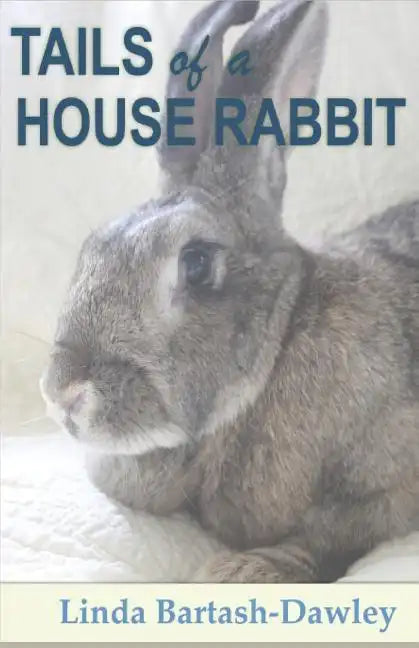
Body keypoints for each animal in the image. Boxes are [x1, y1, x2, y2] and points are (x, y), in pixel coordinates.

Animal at [40, 0, 419, 583]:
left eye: (197, 265)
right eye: (92, 245)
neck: (280, 345)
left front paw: (238, 572)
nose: (62, 394)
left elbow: (329, 536)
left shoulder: (388, 489)